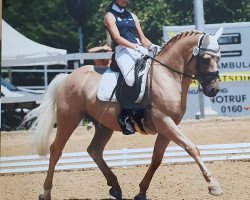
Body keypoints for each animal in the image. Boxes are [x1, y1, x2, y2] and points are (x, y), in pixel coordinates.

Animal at [24, 27, 224, 199]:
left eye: (220, 58)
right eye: (206, 58)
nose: (213, 90)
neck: (167, 75)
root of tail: (68, 76)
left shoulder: (167, 126)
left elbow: (157, 158)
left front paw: (141, 192)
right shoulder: (164, 121)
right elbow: (191, 148)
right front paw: (213, 185)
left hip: (103, 125)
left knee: (94, 150)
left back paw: (115, 187)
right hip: (69, 119)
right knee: (56, 150)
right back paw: (46, 192)